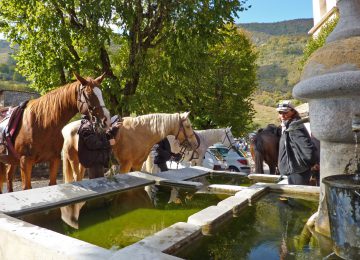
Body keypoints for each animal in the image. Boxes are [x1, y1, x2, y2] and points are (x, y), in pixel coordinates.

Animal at [61, 111, 197, 183]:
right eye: (188, 126)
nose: (195, 144)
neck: (140, 133)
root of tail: (66, 129)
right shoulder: (125, 165)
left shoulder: (137, 165)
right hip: (74, 162)